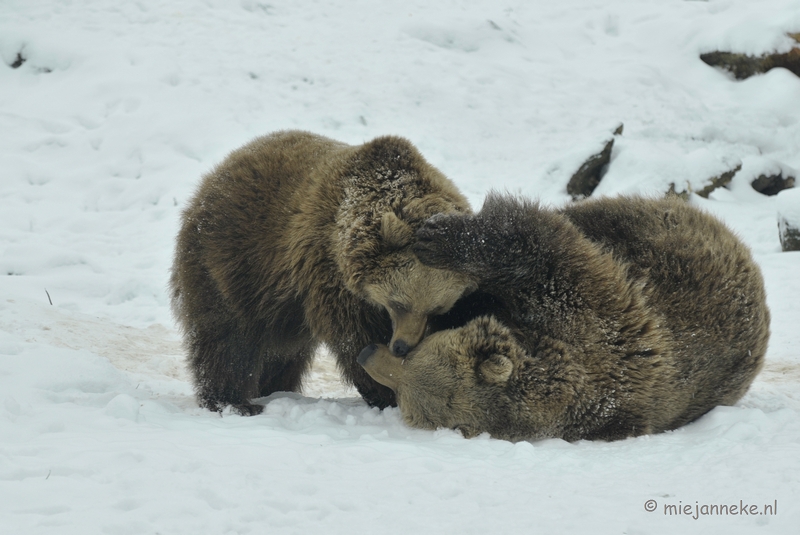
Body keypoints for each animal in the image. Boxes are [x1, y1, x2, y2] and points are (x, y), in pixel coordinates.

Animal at [170, 132, 478, 416]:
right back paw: (234, 401)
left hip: (279, 302)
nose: (402, 346)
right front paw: (386, 391)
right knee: (226, 336)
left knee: (281, 351)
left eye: (437, 310)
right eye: (399, 303)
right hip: (233, 259)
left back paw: (274, 388)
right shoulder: (328, 269)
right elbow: (354, 333)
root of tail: (218, 172)